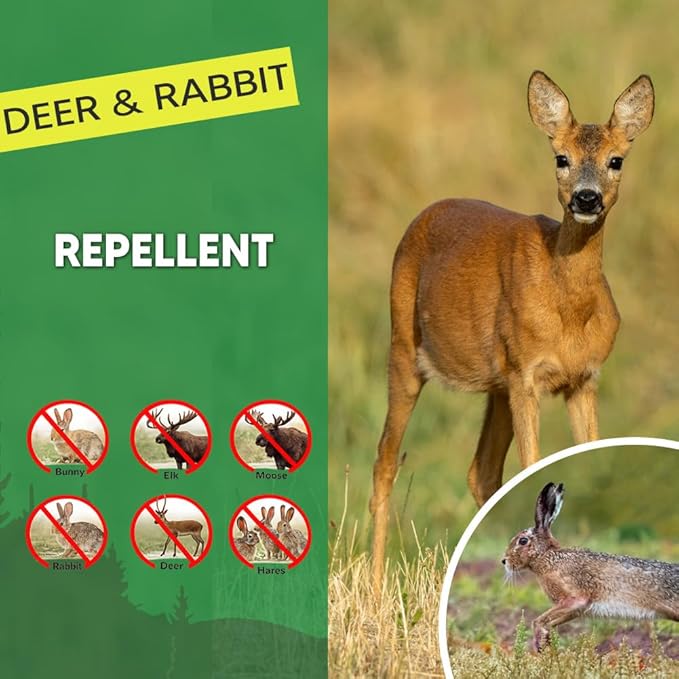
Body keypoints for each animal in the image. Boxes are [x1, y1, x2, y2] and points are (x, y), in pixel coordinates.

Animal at [370, 71, 655, 591]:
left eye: (616, 160)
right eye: (560, 157)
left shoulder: (583, 378)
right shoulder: (527, 374)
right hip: (404, 348)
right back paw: (378, 591)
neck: (568, 311)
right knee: (385, 461)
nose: (587, 198)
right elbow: (531, 463)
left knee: (480, 471)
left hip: (496, 383)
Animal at [502, 482, 679, 651]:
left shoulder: (574, 598)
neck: (547, 557)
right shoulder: (575, 609)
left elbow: (538, 620)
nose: (504, 561)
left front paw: (540, 642)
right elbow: (552, 622)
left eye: (522, 541)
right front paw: (547, 642)